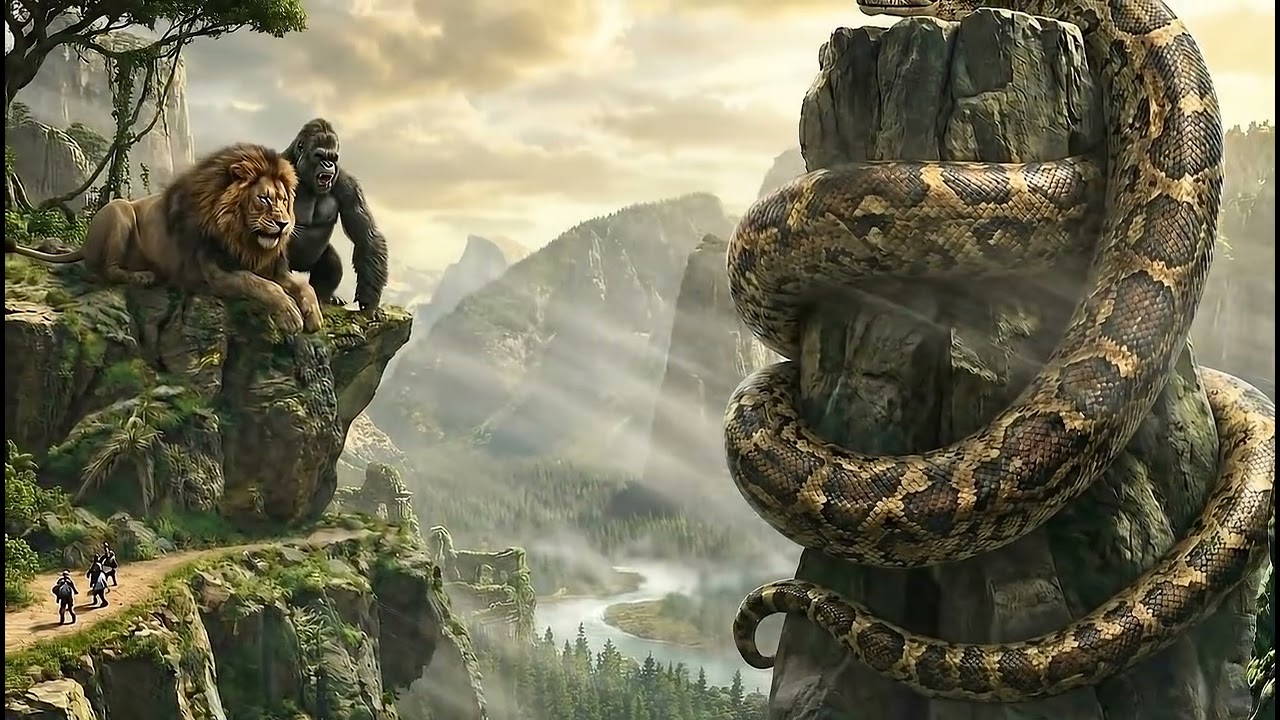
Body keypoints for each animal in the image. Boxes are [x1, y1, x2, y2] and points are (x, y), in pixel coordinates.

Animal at [6, 142, 323, 334]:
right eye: (263, 199)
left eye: (284, 201)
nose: (283, 224)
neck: (243, 240)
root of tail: (84, 244)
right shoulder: (217, 275)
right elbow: (263, 286)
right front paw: (291, 315)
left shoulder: (272, 267)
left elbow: (303, 286)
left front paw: (314, 315)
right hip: (119, 210)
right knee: (104, 270)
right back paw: (144, 276)